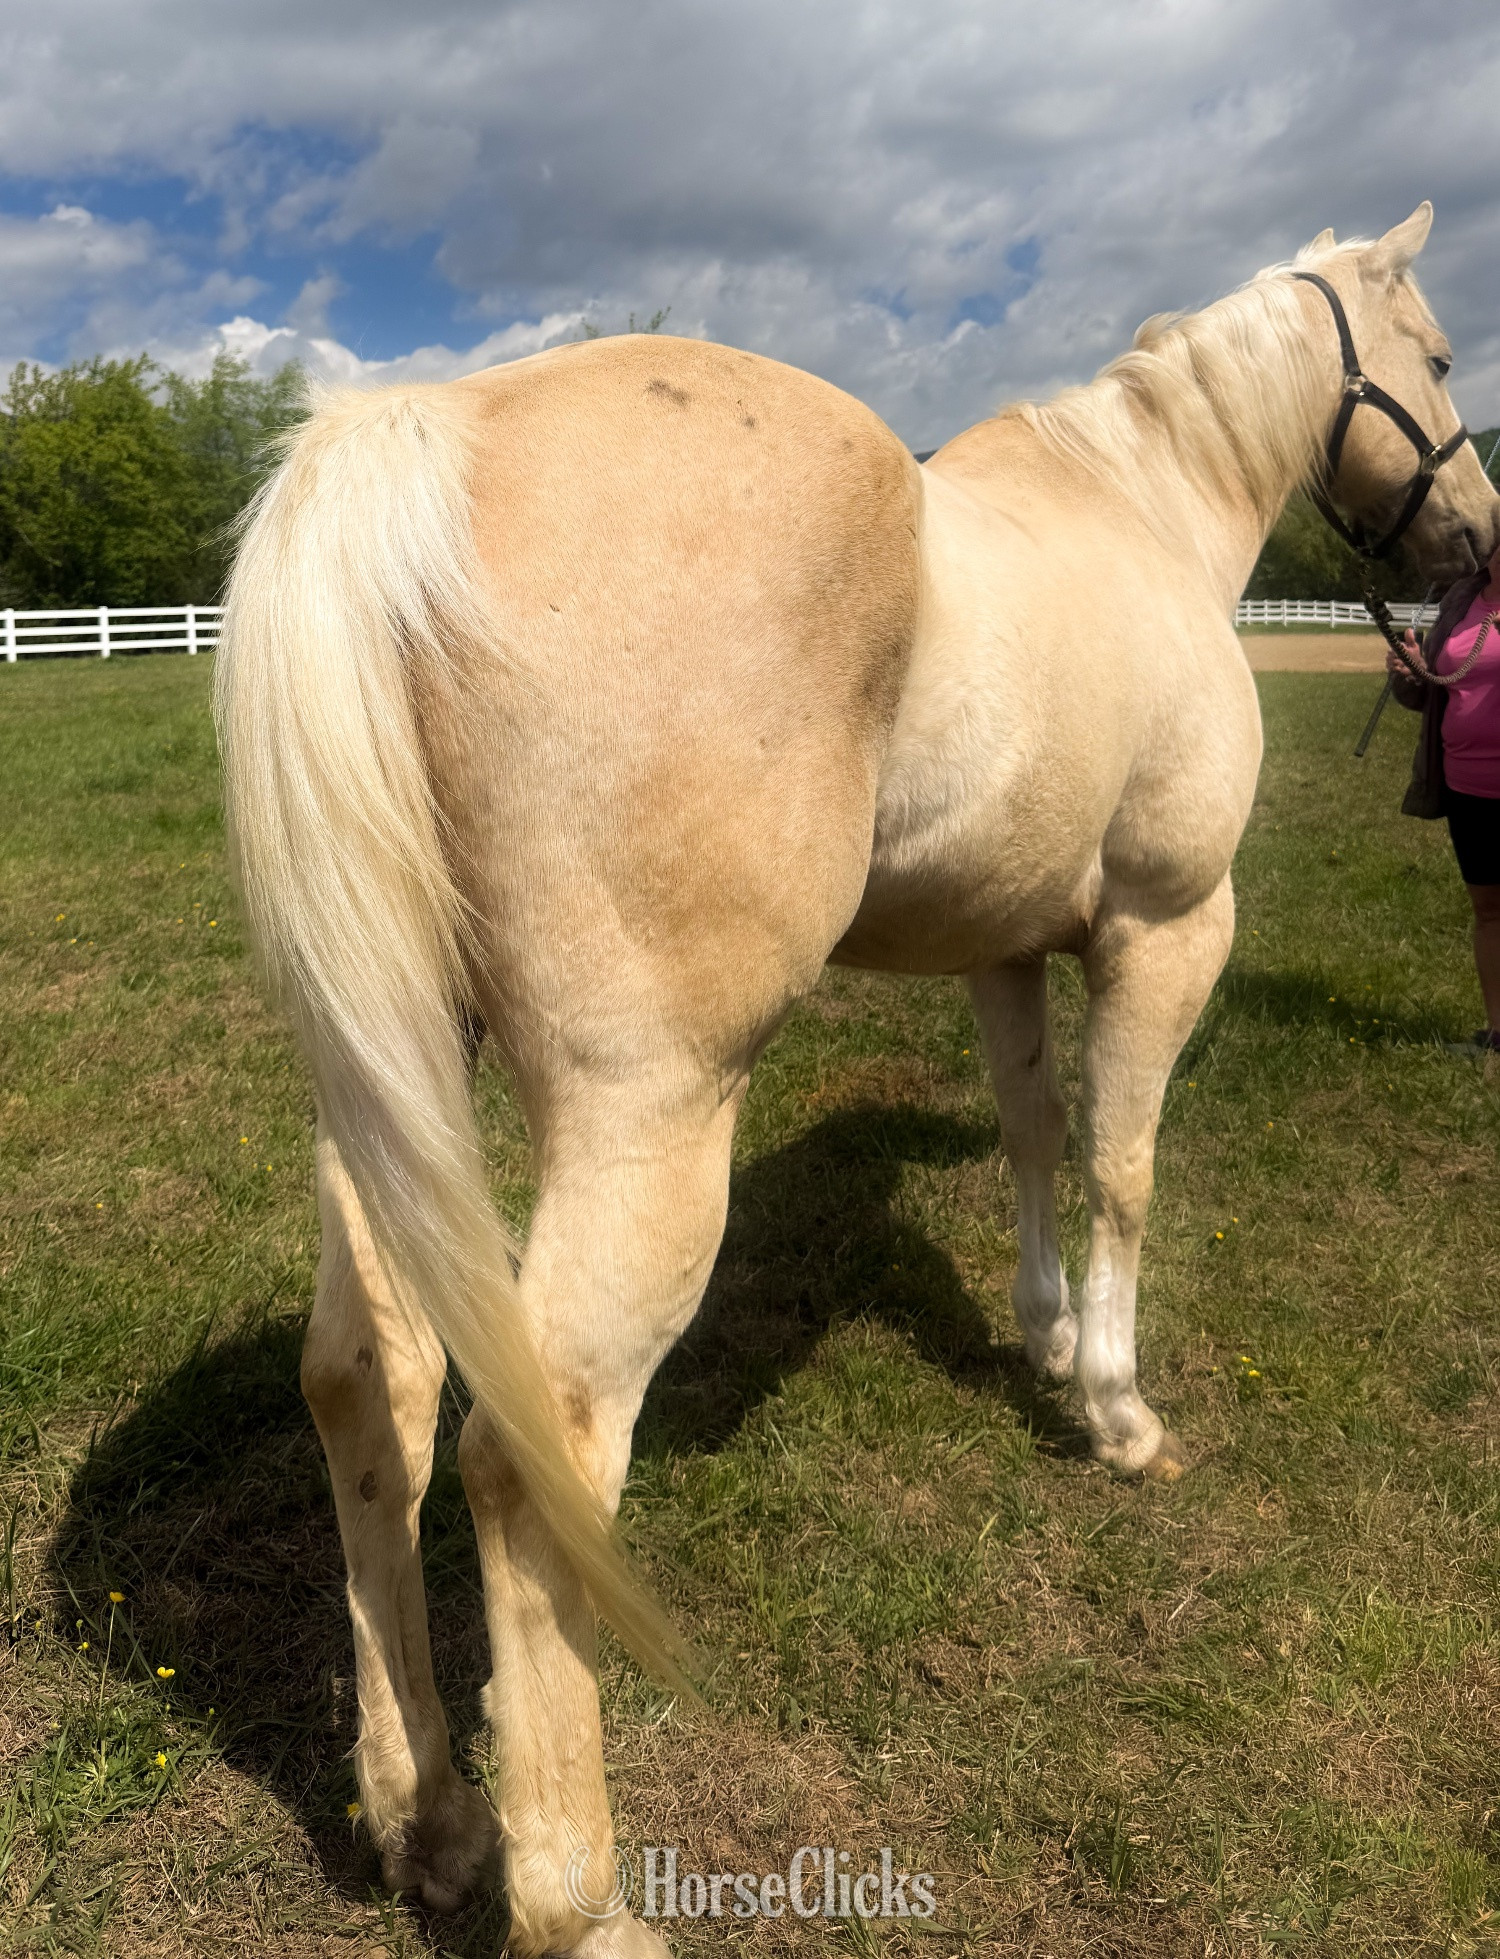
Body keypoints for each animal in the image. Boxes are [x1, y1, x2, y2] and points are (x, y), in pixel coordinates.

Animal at [215, 203, 1498, 1955]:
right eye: (1435, 354)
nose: (1478, 539)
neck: (1148, 516)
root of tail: (430, 429)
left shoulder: (1007, 945)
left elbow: (1034, 1132)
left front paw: (1040, 1337)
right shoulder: (1169, 925)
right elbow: (1124, 1158)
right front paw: (1118, 1408)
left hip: (384, 1098)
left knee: (371, 1384)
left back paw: (433, 1819)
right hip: (649, 1112)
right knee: (531, 1448)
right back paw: (577, 1897)